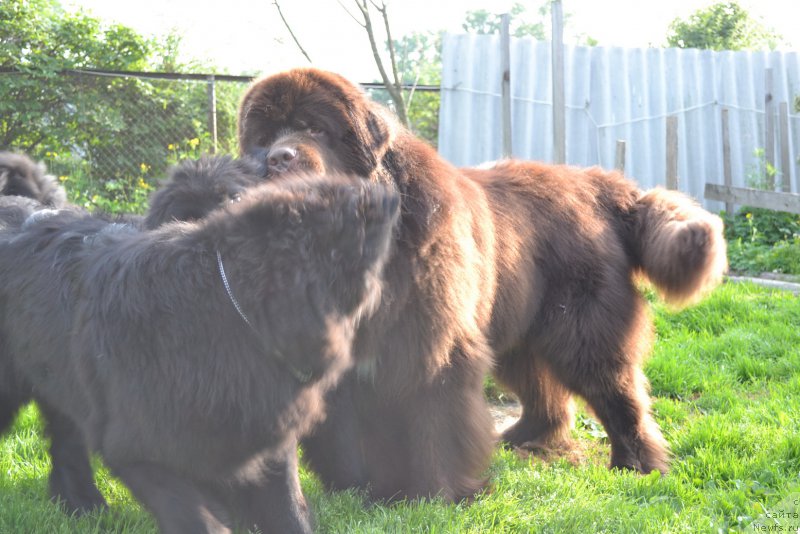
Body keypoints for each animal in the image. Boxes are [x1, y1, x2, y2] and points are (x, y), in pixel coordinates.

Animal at [236, 68, 724, 502]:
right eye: (263, 139)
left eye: (314, 129)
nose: (278, 158)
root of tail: (599, 184)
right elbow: (347, 434)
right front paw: (360, 490)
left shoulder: (433, 345)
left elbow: (435, 419)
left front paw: (436, 495)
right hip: (517, 329)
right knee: (545, 394)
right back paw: (521, 438)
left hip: (584, 329)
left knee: (616, 392)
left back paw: (636, 464)